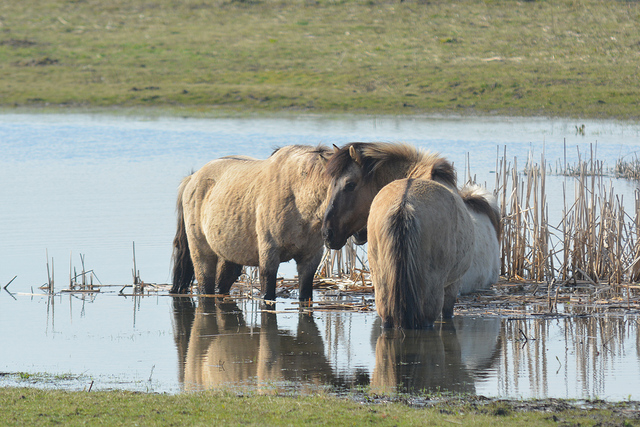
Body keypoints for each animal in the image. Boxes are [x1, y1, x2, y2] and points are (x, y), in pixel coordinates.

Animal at [172, 145, 332, 302]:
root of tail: (192, 177)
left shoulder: (311, 257)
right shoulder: (269, 254)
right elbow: (267, 292)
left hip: (228, 254)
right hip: (201, 252)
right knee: (205, 285)